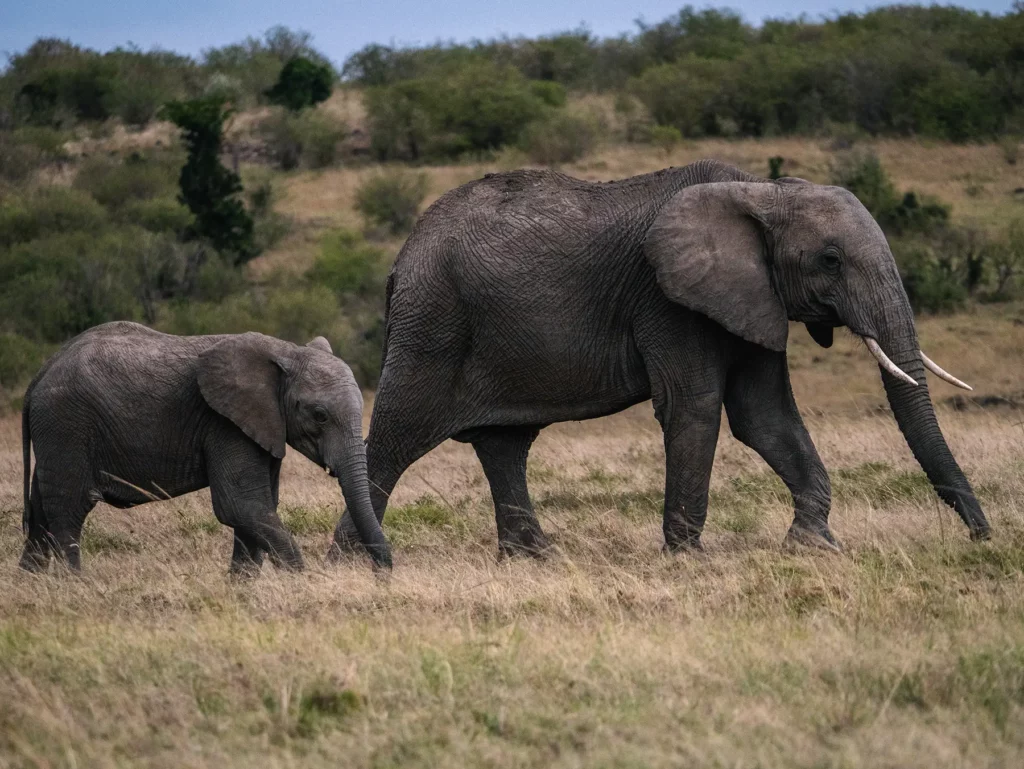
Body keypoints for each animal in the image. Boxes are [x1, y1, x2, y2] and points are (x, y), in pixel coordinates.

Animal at [19, 321, 391, 574]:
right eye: (320, 416)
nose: (382, 574)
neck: (284, 351)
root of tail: (39, 374)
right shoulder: (223, 423)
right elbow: (240, 506)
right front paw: (302, 582)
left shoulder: (262, 424)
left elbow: (257, 509)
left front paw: (241, 591)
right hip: (66, 425)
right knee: (69, 509)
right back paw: (75, 583)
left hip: (57, 431)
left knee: (39, 512)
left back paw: (33, 585)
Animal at [330, 159, 989, 557]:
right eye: (830, 259)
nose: (984, 538)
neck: (761, 191)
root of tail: (400, 261)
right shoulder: (667, 300)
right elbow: (694, 407)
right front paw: (689, 559)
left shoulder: (750, 298)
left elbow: (764, 417)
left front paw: (811, 547)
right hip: (432, 324)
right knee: (394, 439)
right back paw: (355, 563)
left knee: (504, 444)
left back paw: (534, 561)